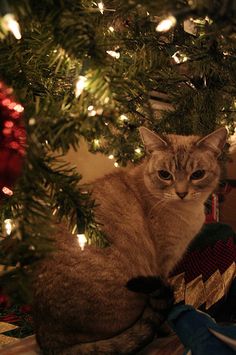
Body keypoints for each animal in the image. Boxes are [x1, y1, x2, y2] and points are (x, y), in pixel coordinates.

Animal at [32, 127, 228, 355]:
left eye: (197, 175)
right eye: (165, 175)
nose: (181, 193)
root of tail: (47, 340)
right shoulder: (163, 264)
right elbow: (164, 308)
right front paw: (168, 328)